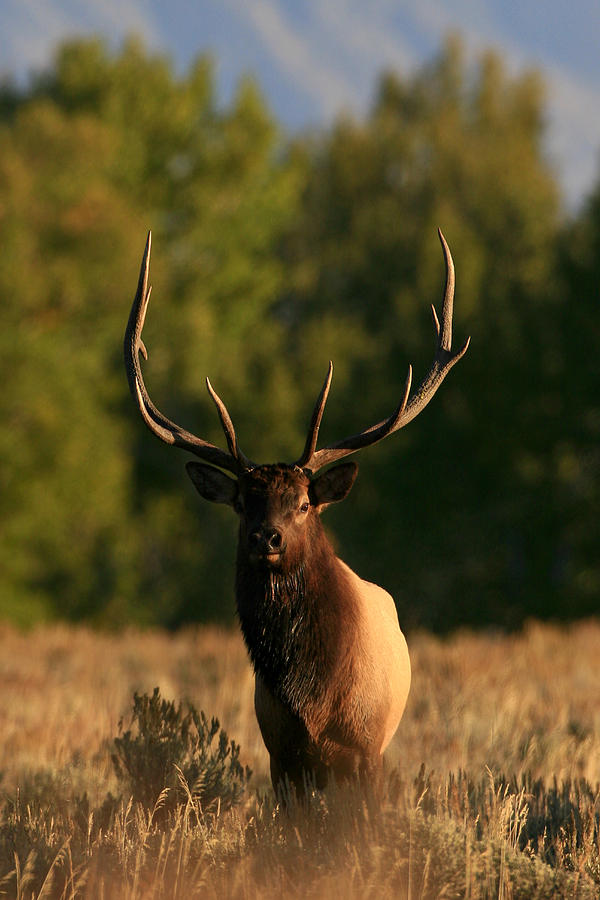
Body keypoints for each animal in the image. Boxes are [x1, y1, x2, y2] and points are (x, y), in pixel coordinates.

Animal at [123, 229, 468, 792]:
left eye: (305, 503)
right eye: (243, 503)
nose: (267, 537)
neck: (311, 700)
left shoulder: (365, 748)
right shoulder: (281, 754)